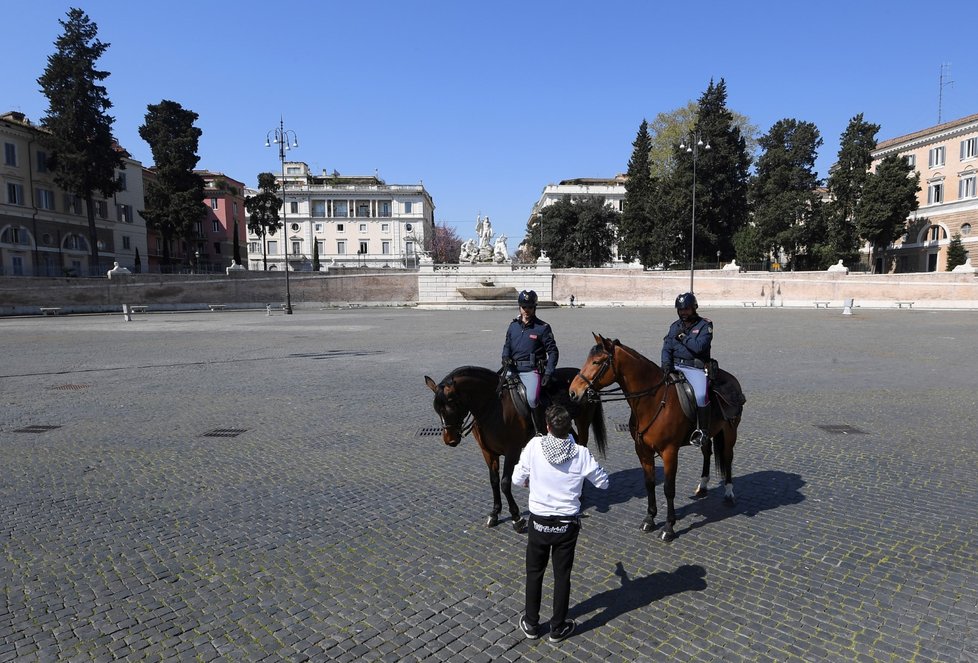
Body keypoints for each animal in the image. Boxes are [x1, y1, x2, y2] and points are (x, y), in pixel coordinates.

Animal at [426, 366, 608, 536]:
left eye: (452, 404)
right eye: (436, 408)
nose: (450, 440)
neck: (493, 407)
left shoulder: (512, 451)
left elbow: (505, 483)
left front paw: (516, 518)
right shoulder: (488, 452)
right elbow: (494, 481)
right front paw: (495, 512)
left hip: (583, 421)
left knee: (582, 445)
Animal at [564, 334, 740, 544]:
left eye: (597, 362)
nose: (573, 392)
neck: (652, 401)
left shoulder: (670, 452)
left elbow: (669, 489)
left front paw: (669, 527)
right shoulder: (643, 451)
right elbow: (649, 484)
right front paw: (649, 518)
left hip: (730, 432)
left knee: (728, 457)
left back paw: (729, 493)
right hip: (708, 434)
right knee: (707, 452)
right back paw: (703, 486)